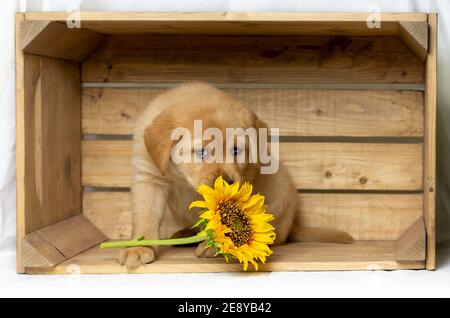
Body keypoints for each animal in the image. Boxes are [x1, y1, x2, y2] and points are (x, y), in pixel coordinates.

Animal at [119, 82, 352, 268]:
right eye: (201, 152)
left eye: (236, 150)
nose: (228, 182)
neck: (182, 178)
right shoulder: (148, 177)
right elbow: (145, 217)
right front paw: (139, 247)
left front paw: (215, 247)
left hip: (281, 188)